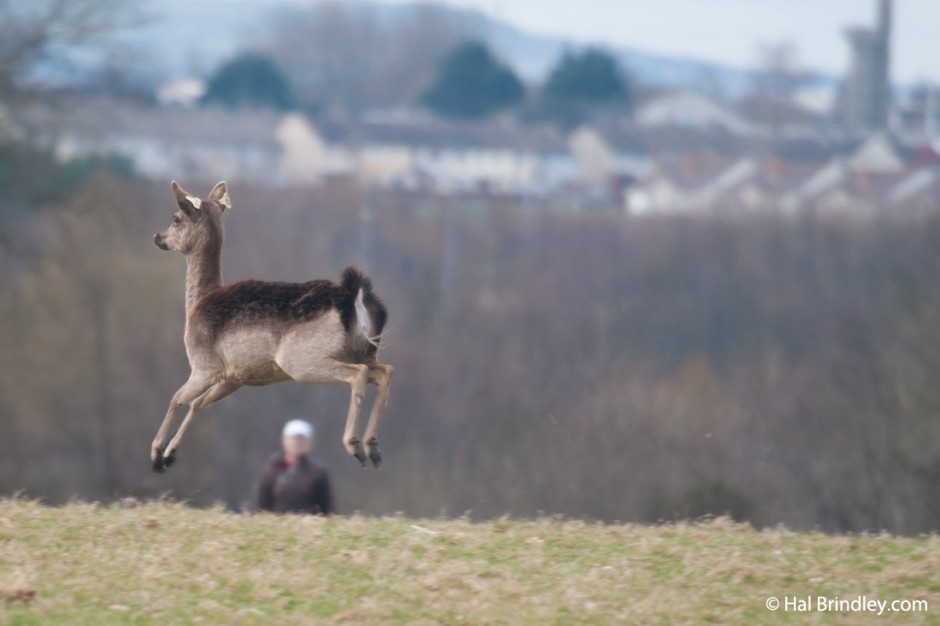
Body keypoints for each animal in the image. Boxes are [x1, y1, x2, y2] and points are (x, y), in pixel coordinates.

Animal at [151, 180, 392, 472]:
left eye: (176, 218)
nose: (157, 237)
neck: (196, 304)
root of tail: (354, 298)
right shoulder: (235, 377)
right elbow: (198, 404)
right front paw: (170, 454)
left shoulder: (204, 365)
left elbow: (177, 398)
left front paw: (157, 453)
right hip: (364, 352)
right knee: (385, 372)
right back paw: (373, 449)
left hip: (302, 361)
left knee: (358, 375)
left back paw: (354, 445)